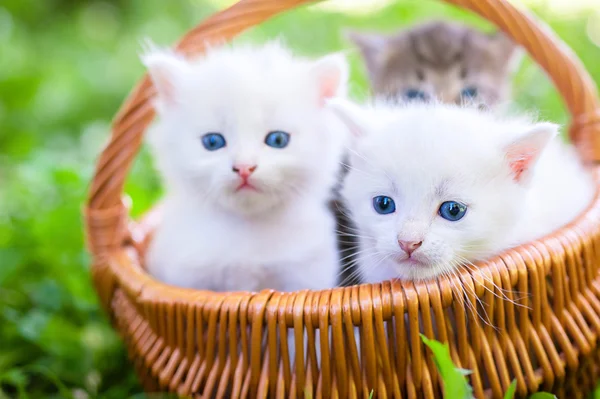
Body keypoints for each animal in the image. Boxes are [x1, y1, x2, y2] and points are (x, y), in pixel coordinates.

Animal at [144, 42, 350, 292]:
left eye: (277, 140)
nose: (244, 167)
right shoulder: (185, 276)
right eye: (212, 142)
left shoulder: (307, 274)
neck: (248, 232)